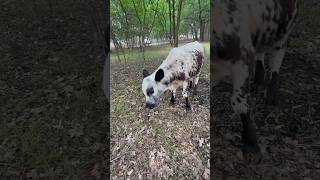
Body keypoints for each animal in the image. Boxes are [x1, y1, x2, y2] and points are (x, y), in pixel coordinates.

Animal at [211, 0, 298, 153]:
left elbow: (238, 102)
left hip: (284, 31)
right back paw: (258, 79)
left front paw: (250, 141)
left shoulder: (242, 57)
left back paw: (272, 96)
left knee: (276, 62)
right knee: (260, 52)